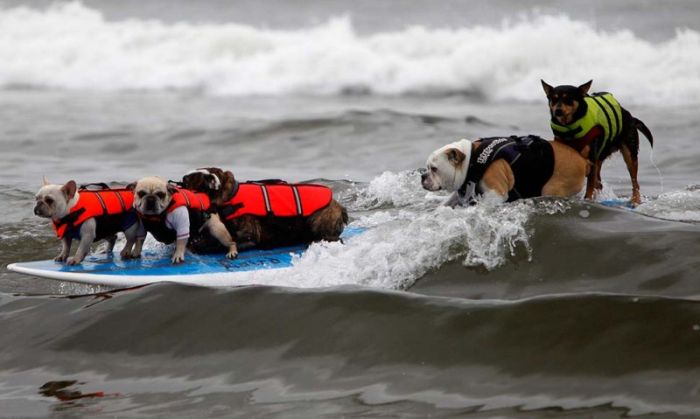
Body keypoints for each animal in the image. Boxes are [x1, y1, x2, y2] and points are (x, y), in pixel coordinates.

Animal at [179, 168, 346, 256]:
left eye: (188, 181)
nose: (181, 179)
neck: (230, 195)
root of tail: (340, 208)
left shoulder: (248, 236)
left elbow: (227, 243)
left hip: (318, 222)